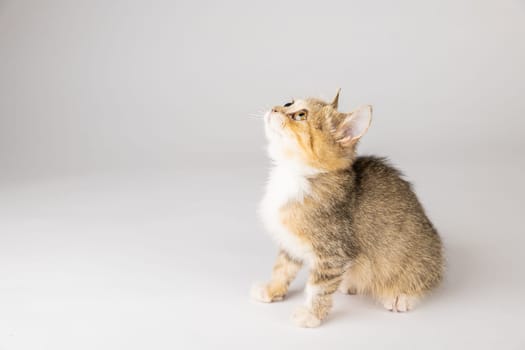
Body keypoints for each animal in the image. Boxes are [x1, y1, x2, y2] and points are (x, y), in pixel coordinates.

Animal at [250, 90, 442, 328]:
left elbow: (318, 288)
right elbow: (283, 267)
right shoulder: (290, 242)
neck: (295, 174)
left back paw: (402, 296)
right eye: (288, 103)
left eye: (301, 115)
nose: (274, 108)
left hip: (416, 259)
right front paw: (272, 289)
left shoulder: (332, 252)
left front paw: (311, 314)